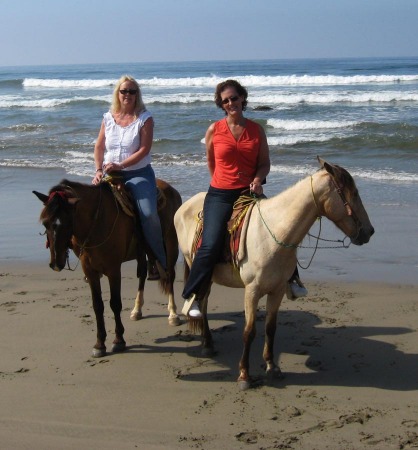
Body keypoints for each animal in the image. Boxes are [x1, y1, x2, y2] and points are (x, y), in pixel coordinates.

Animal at [34, 178, 181, 356]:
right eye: (45, 223)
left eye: (68, 221)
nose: (56, 263)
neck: (96, 221)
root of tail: (170, 188)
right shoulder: (90, 271)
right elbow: (98, 305)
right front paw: (99, 344)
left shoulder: (113, 270)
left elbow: (115, 303)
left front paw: (118, 340)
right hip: (143, 252)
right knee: (142, 274)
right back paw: (136, 310)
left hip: (171, 245)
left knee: (170, 275)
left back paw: (173, 314)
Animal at [174, 158, 376, 390]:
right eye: (354, 193)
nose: (369, 231)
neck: (273, 233)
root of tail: (184, 206)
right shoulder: (251, 291)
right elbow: (249, 331)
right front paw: (244, 375)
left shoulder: (277, 290)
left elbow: (270, 328)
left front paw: (272, 367)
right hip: (199, 268)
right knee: (203, 303)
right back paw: (207, 343)